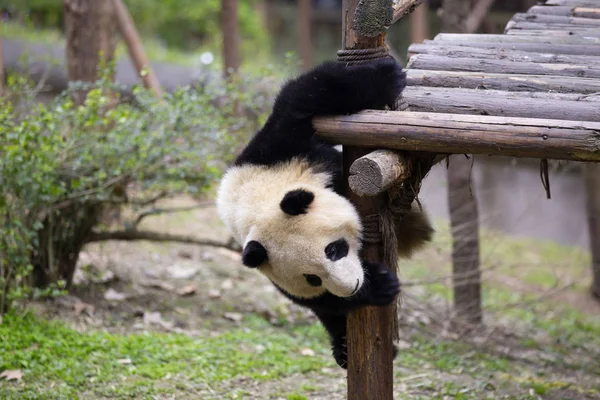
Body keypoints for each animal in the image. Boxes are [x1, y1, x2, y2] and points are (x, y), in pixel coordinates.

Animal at [216, 57, 432, 368]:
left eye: (333, 250)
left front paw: (387, 74)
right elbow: (319, 301)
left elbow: (305, 97)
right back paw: (343, 348)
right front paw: (375, 287)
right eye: (312, 278)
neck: (251, 204)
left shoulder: (280, 151)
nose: (353, 285)